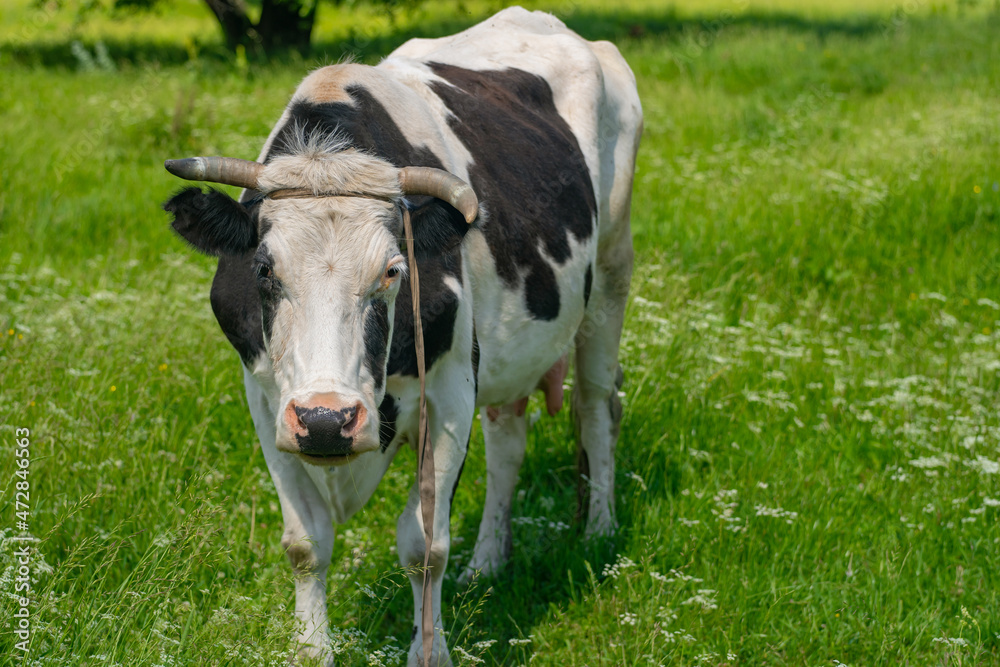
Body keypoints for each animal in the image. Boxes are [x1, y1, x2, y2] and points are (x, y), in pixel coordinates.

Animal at [163, 7, 640, 664]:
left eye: (393, 271)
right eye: (263, 268)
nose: (327, 420)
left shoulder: (449, 393)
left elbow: (424, 544)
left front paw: (430, 651)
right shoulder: (267, 401)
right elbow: (305, 542)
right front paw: (311, 650)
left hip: (611, 275)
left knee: (597, 404)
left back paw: (597, 531)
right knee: (508, 439)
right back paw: (487, 562)